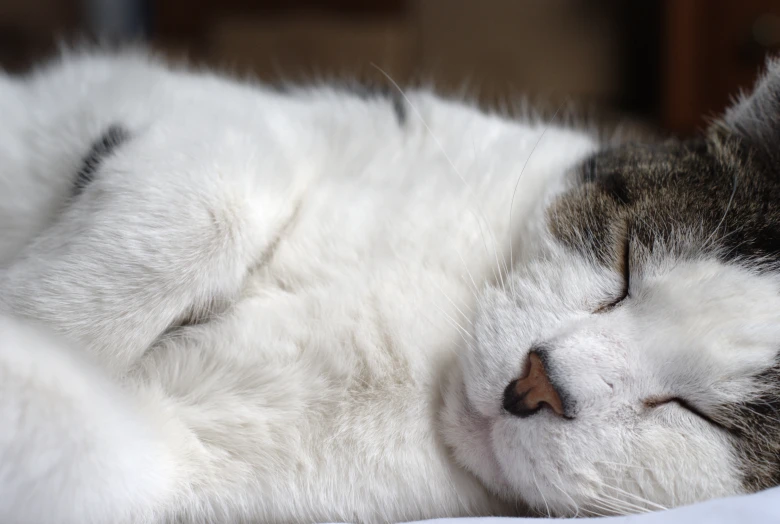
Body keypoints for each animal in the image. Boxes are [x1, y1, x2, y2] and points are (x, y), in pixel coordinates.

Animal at [1, 50, 780, 524]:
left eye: (701, 414)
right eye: (625, 262)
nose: (538, 381)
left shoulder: (152, 461)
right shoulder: (209, 110)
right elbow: (211, 211)